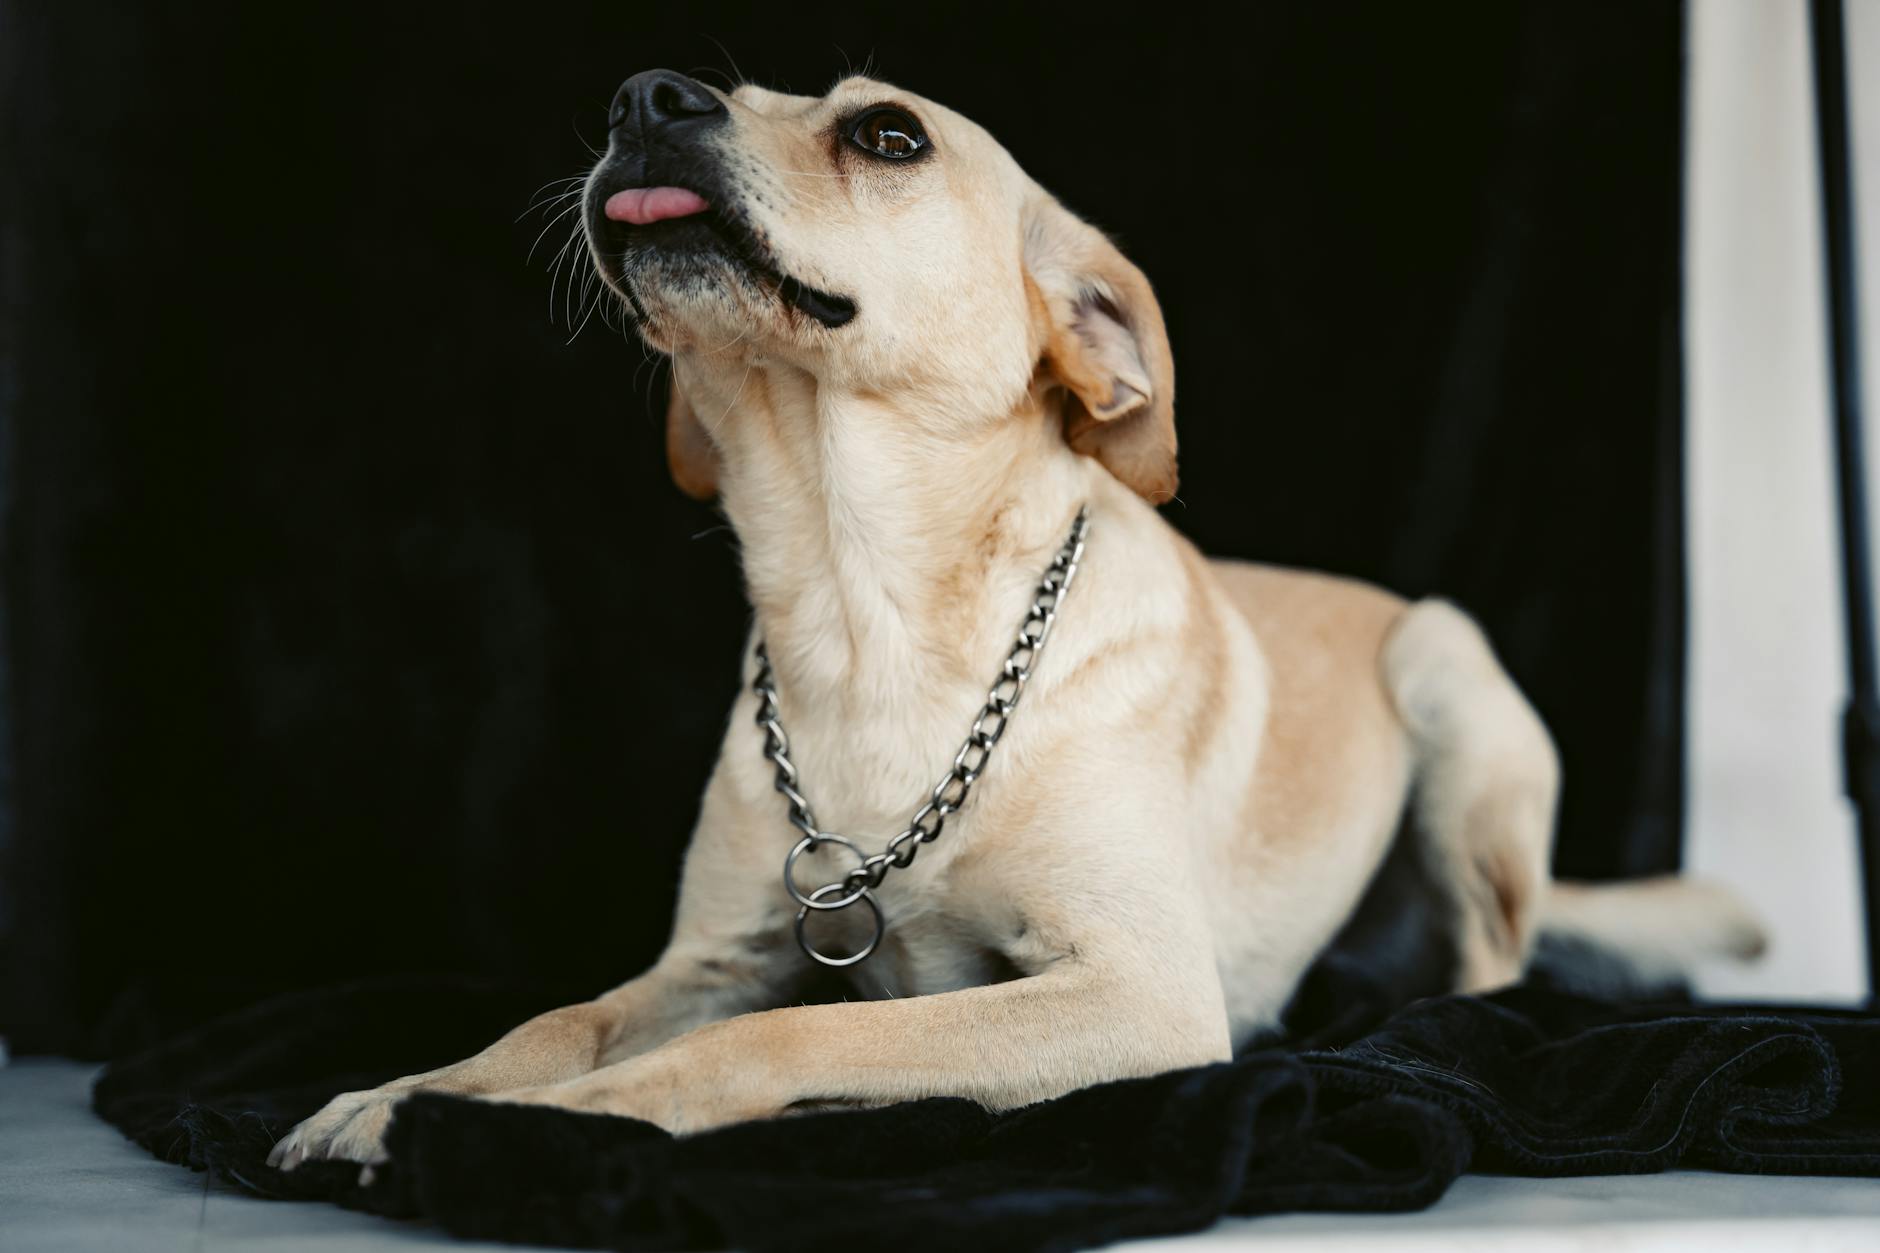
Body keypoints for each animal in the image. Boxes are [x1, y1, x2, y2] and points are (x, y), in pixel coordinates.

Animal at [265, 70, 1759, 1173]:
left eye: (888, 133)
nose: (644, 94)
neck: (864, 608)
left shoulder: (1135, 991)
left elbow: (785, 1043)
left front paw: (552, 1121)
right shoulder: (713, 954)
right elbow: (563, 1017)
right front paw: (408, 1091)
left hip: (1449, 676)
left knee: (1492, 972)